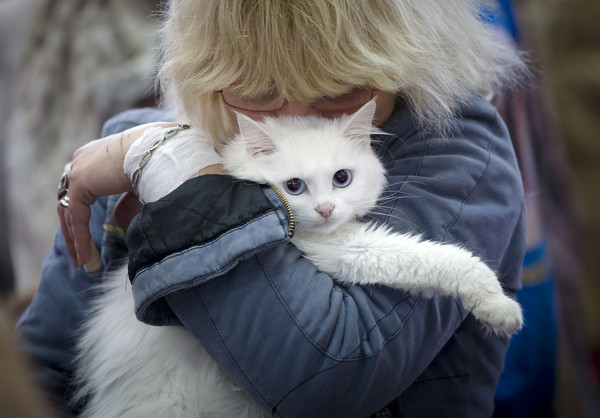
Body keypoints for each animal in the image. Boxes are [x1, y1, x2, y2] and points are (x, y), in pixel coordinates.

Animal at [75, 99, 524, 416]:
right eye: (293, 186)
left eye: (342, 179)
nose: (325, 209)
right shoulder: (344, 249)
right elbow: (437, 259)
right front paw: (499, 308)